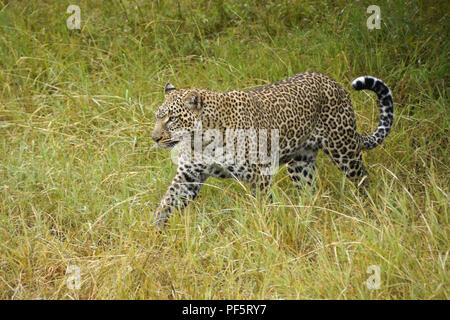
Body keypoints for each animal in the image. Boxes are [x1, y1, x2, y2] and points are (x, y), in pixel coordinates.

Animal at [152, 72, 394, 228]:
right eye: (157, 117)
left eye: (171, 119)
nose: (155, 138)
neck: (202, 140)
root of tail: (333, 82)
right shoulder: (188, 176)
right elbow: (166, 204)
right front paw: (154, 234)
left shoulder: (259, 175)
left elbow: (261, 206)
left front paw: (261, 230)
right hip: (300, 165)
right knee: (310, 191)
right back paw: (308, 216)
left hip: (343, 148)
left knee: (362, 179)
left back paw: (369, 211)